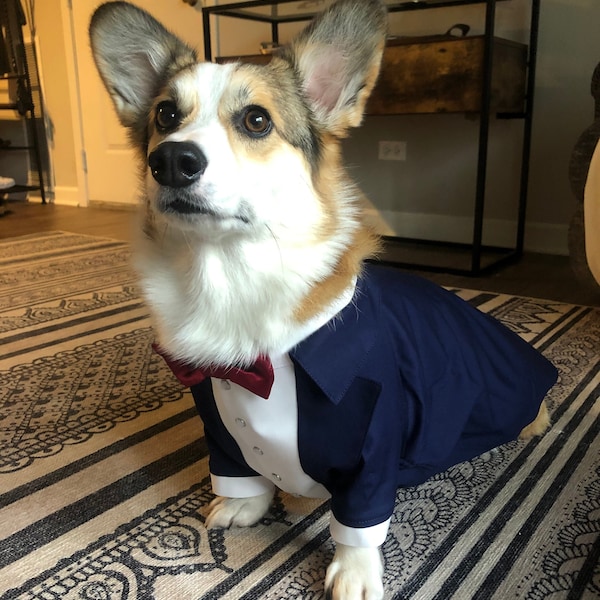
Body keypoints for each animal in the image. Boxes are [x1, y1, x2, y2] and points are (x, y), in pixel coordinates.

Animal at [90, 2, 556, 596]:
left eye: (256, 121)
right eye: (166, 116)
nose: (170, 161)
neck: (231, 277)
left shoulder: (372, 435)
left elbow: (357, 521)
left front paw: (355, 572)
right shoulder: (216, 416)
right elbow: (241, 469)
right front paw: (244, 506)